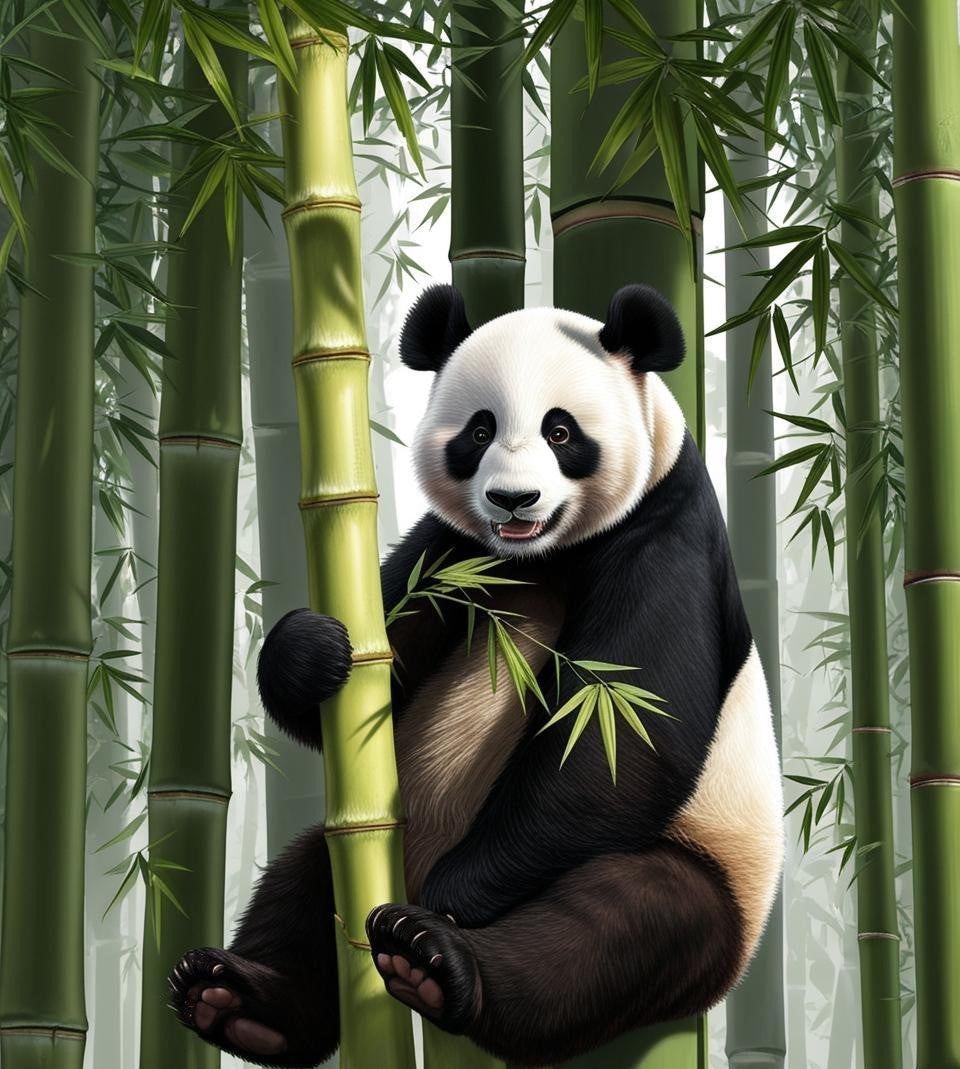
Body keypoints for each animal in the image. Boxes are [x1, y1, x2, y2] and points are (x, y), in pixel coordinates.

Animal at [168, 283, 784, 1067]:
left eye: (561, 431)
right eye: (479, 430)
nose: (513, 500)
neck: (539, 557)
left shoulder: (663, 538)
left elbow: (621, 737)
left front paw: (450, 898)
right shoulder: (454, 553)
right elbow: (379, 657)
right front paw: (314, 649)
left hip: (709, 870)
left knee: (617, 924)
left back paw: (432, 959)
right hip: (372, 833)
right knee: (305, 877)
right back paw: (237, 997)